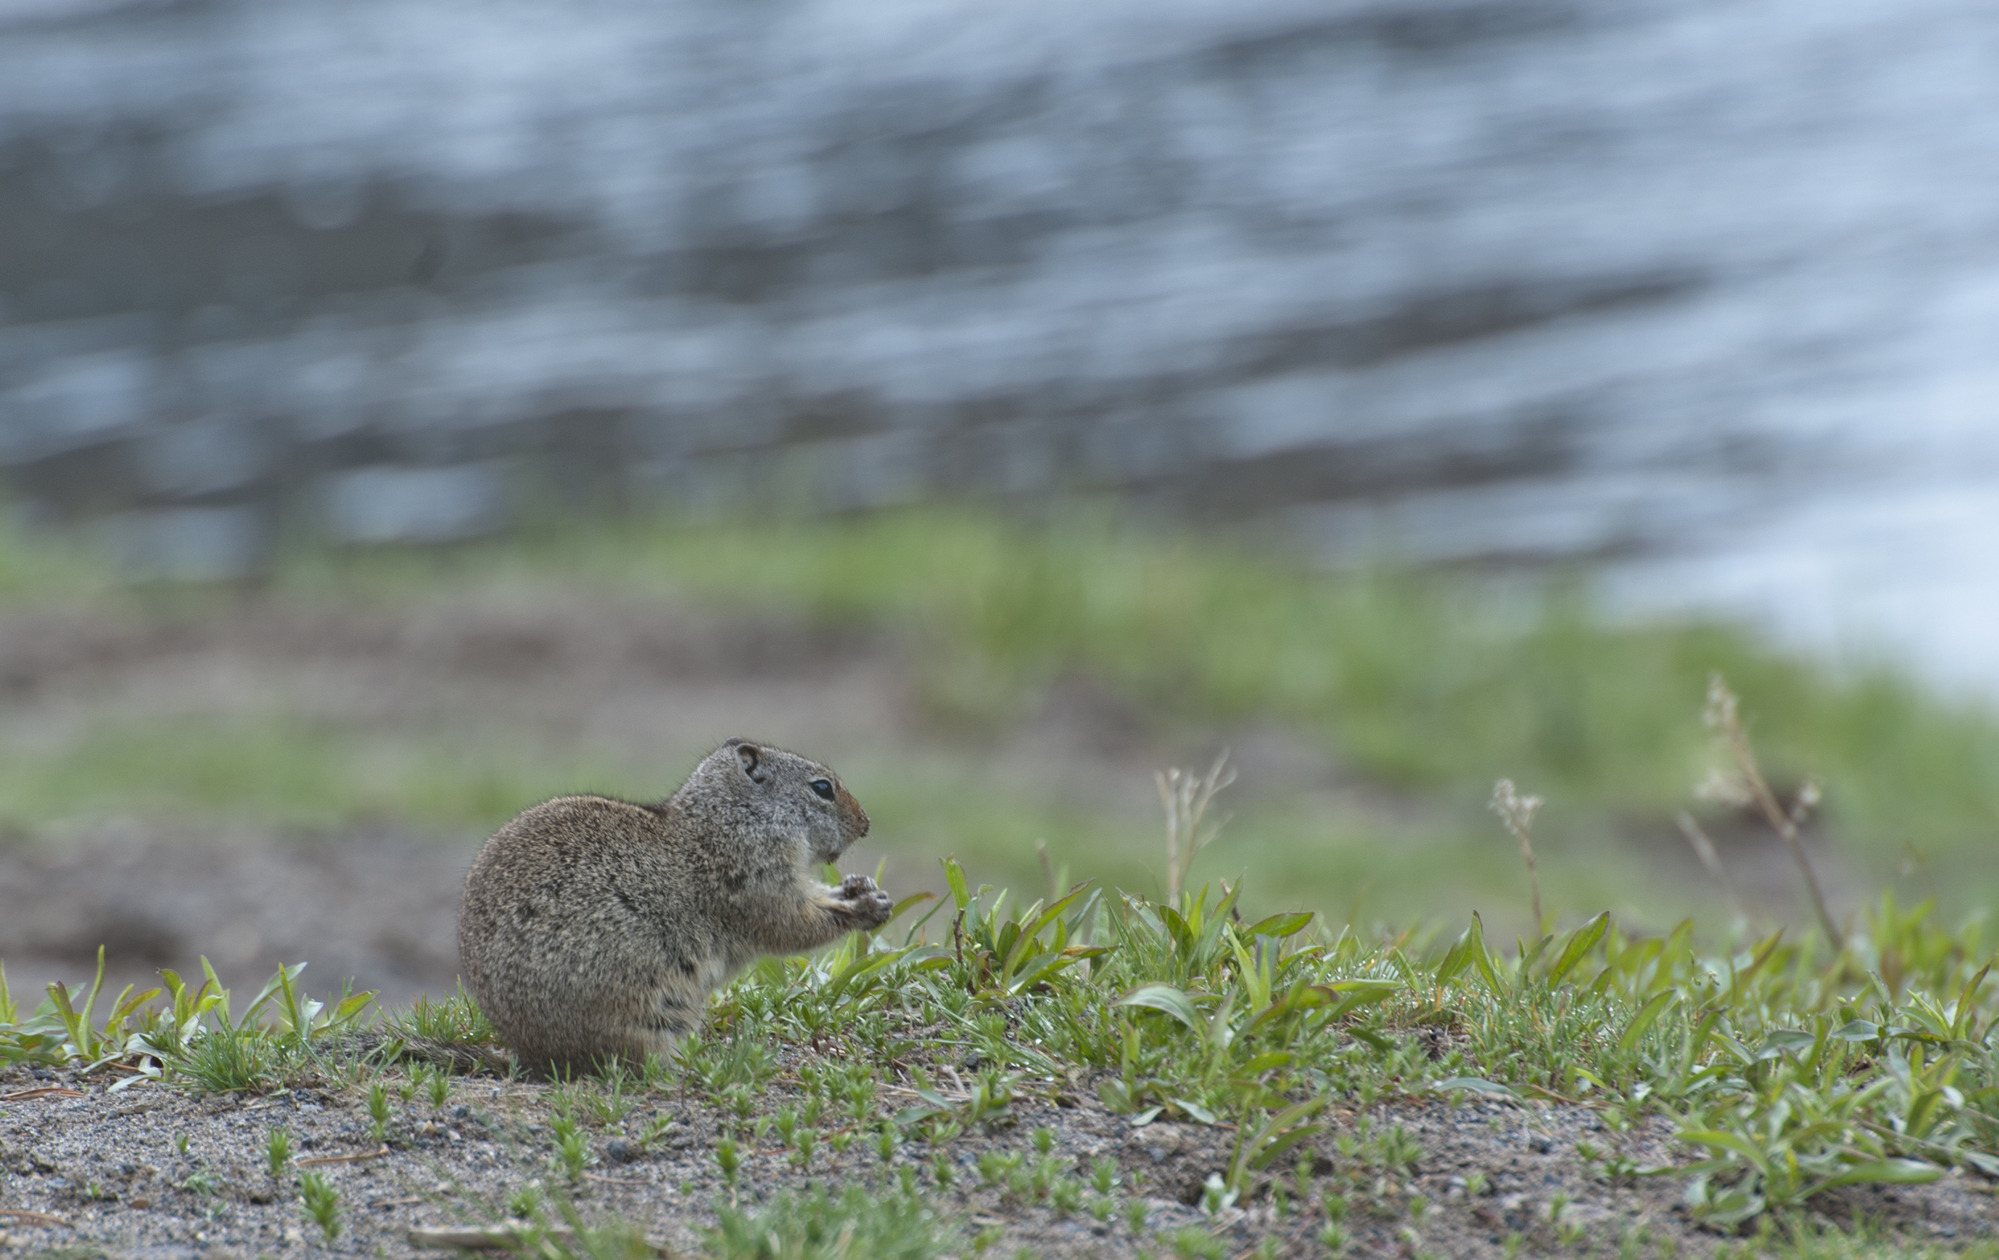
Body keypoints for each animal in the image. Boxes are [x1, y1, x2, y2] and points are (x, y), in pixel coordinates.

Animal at [450, 737, 892, 1077]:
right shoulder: (755, 883)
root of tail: (531, 1059)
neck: (732, 819)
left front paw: (861, 888)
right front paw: (866, 908)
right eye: (823, 788)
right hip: (645, 1018)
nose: (867, 823)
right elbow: (794, 924)